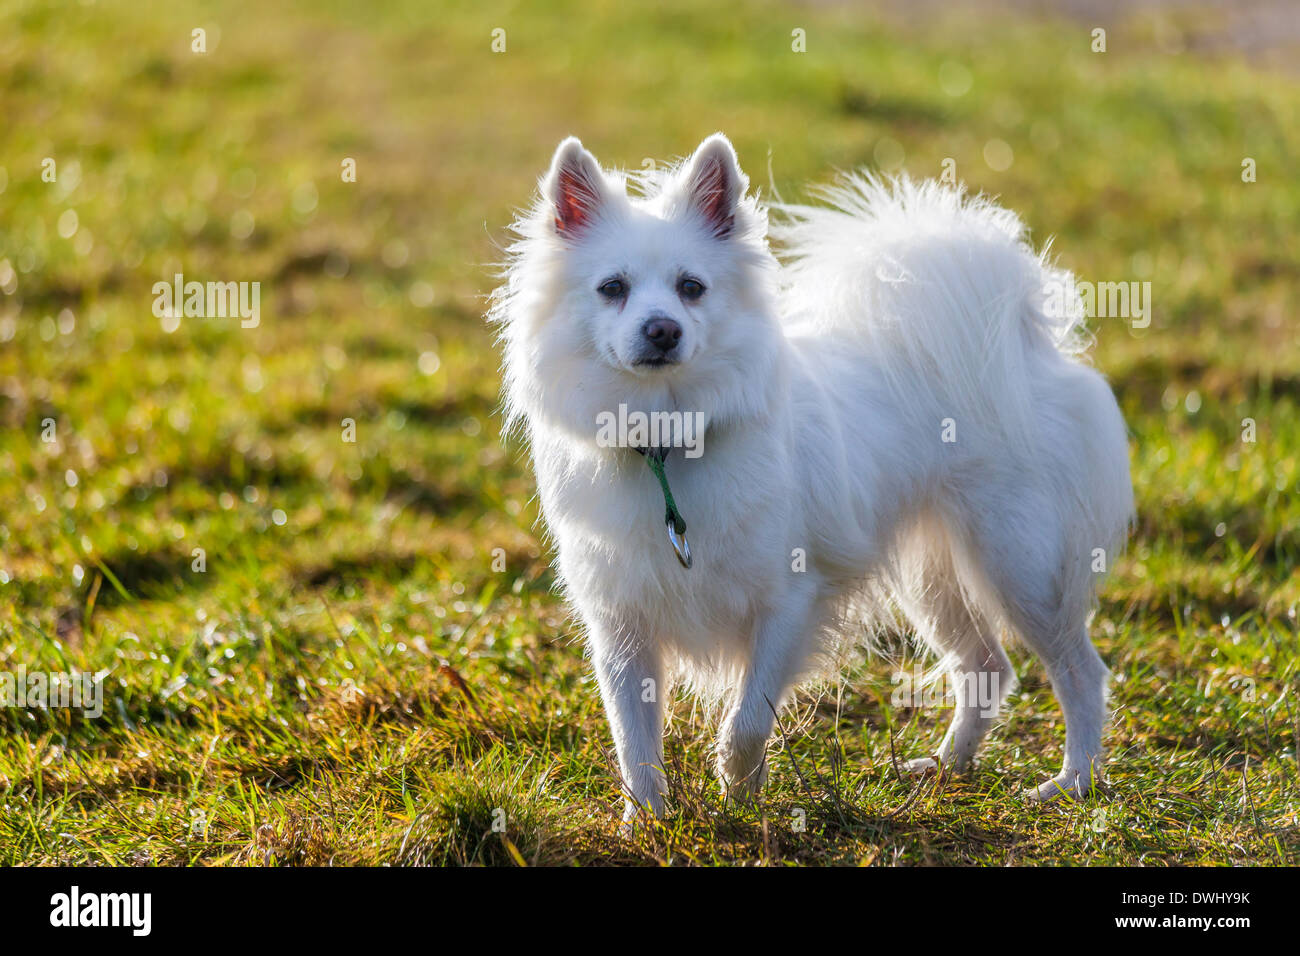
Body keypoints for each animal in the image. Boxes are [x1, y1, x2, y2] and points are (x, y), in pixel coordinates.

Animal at [491, 132, 1133, 822]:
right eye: (612, 288)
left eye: (692, 288)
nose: (662, 329)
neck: (668, 438)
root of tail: (1029, 347)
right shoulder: (622, 628)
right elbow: (634, 741)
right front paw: (651, 824)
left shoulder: (789, 605)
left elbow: (746, 721)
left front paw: (739, 796)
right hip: (932, 577)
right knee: (986, 665)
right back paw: (946, 767)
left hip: (1021, 568)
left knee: (1079, 671)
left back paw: (1073, 783)